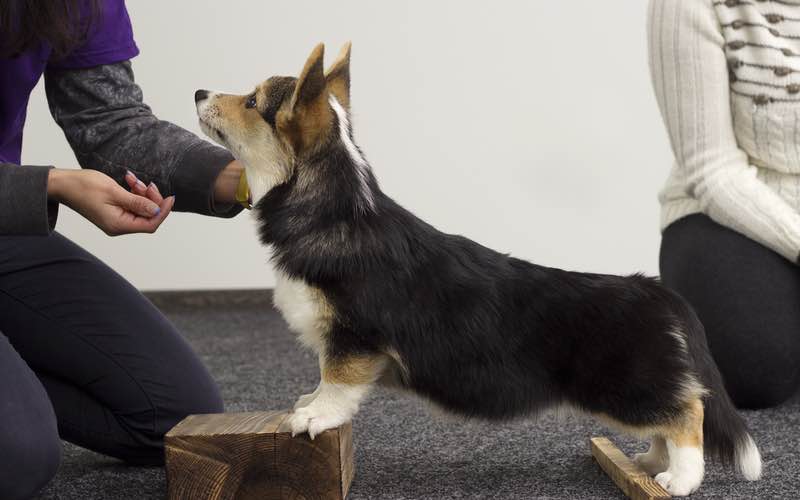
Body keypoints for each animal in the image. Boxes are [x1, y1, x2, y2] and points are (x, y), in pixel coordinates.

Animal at [195, 43, 764, 496]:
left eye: (251, 102)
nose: (199, 91)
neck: (333, 208)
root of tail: (655, 291)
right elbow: (321, 379)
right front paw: (307, 401)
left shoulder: (354, 339)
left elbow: (338, 384)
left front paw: (314, 416)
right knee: (671, 416)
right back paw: (648, 461)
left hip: (624, 385)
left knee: (688, 412)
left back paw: (680, 478)